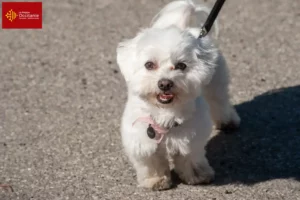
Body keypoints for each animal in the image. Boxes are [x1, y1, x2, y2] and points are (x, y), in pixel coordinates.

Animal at [116, 0, 240, 191]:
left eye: (181, 65)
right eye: (149, 64)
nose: (165, 83)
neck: (165, 112)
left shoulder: (191, 137)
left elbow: (190, 157)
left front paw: (198, 175)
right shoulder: (141, 138)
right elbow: (151, 161)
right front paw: (156, 180)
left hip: (216, 81)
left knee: (219, 100)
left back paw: (228, 120)